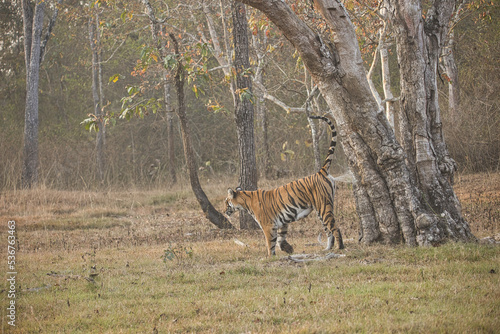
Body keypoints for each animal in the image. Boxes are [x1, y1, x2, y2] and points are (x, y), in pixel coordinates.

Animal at [226, 114, 344, 256]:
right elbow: (279, 239)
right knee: (328, 231)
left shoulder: (268, 225)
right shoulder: (282, 222)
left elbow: (270, 242)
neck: (245, 202)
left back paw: (340, 247)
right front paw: (288, 249)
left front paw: (270, 256)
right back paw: (327, 249)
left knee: (335, 229)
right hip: (320, 211)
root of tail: (321, 171)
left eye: (226, 202)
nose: (224, 211)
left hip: (324, 207)